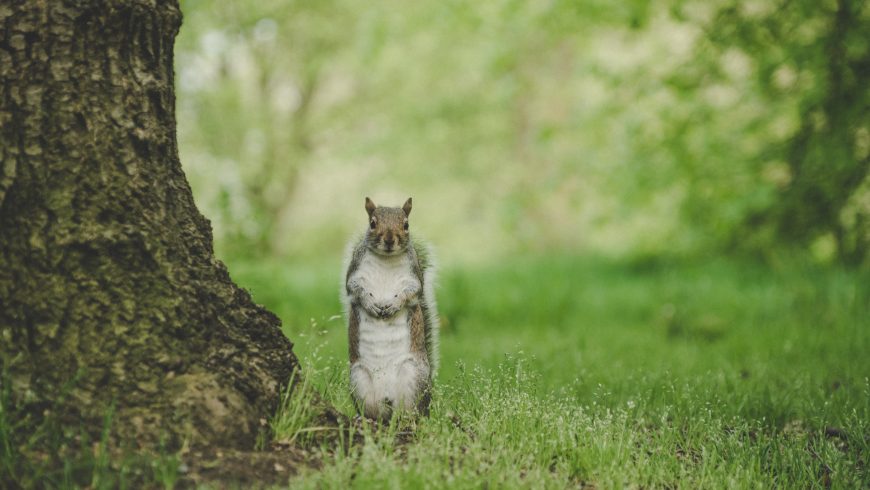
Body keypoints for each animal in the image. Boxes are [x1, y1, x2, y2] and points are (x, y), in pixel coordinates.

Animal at [342, 197, 440, 420]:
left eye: (406, 225)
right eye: (372, 223)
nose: (388, 239)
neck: (386, 259)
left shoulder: (414, 278)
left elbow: (411, 293)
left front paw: (393, 305)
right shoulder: (354, 274)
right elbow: (355, 290)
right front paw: (371, 304)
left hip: (414, 376)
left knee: (412, 411)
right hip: (359, 378)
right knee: (374, 413)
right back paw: (364, 418)